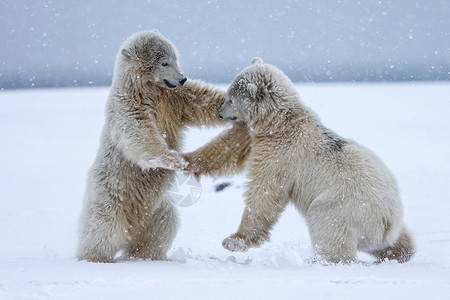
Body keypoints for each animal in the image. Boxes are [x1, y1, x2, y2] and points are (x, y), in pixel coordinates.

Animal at [78, 29, 253, 262]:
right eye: (164, 62)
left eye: (175, 58)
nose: (182, 78)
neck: (144, 89)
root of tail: (133, 225)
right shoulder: (127, 106)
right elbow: (139, 133)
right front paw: (174, 159)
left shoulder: (172, 98)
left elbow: (201, 100)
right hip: (111, 196)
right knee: (104, 228)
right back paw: (94, 257)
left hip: (156, 208)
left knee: (163, 225)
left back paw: (148, 255)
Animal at [218, 57, 414, 264]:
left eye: (231, 98)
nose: (220, 113)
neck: (282, 124)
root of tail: (387, 223)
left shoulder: (280, 155)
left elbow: (265, 192)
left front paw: (234, 240)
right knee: (394, 240)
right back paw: (400, 251)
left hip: (343, 206)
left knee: (328, 227)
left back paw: (320, 260)